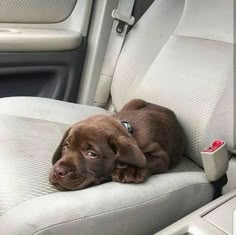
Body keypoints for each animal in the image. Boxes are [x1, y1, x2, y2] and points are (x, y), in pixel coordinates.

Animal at [49, 99, 184, 191]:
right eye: (66, 146)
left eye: (91, 154)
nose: (58, 171)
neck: (130, 130)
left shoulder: (162, 157)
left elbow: (146, 160)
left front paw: (131, 169)